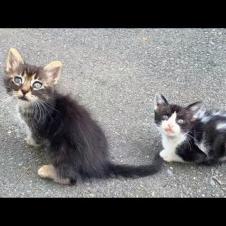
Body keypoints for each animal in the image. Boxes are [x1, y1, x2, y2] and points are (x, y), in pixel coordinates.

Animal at [3, 48, 162, 185]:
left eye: (37, 85)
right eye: (18, 80)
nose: (24, 91)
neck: (39, 103)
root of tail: (99, 163)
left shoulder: (38, 127)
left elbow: (36, 137)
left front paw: (30, 141)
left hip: (60, 148)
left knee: (71, 178)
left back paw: (47, 171)